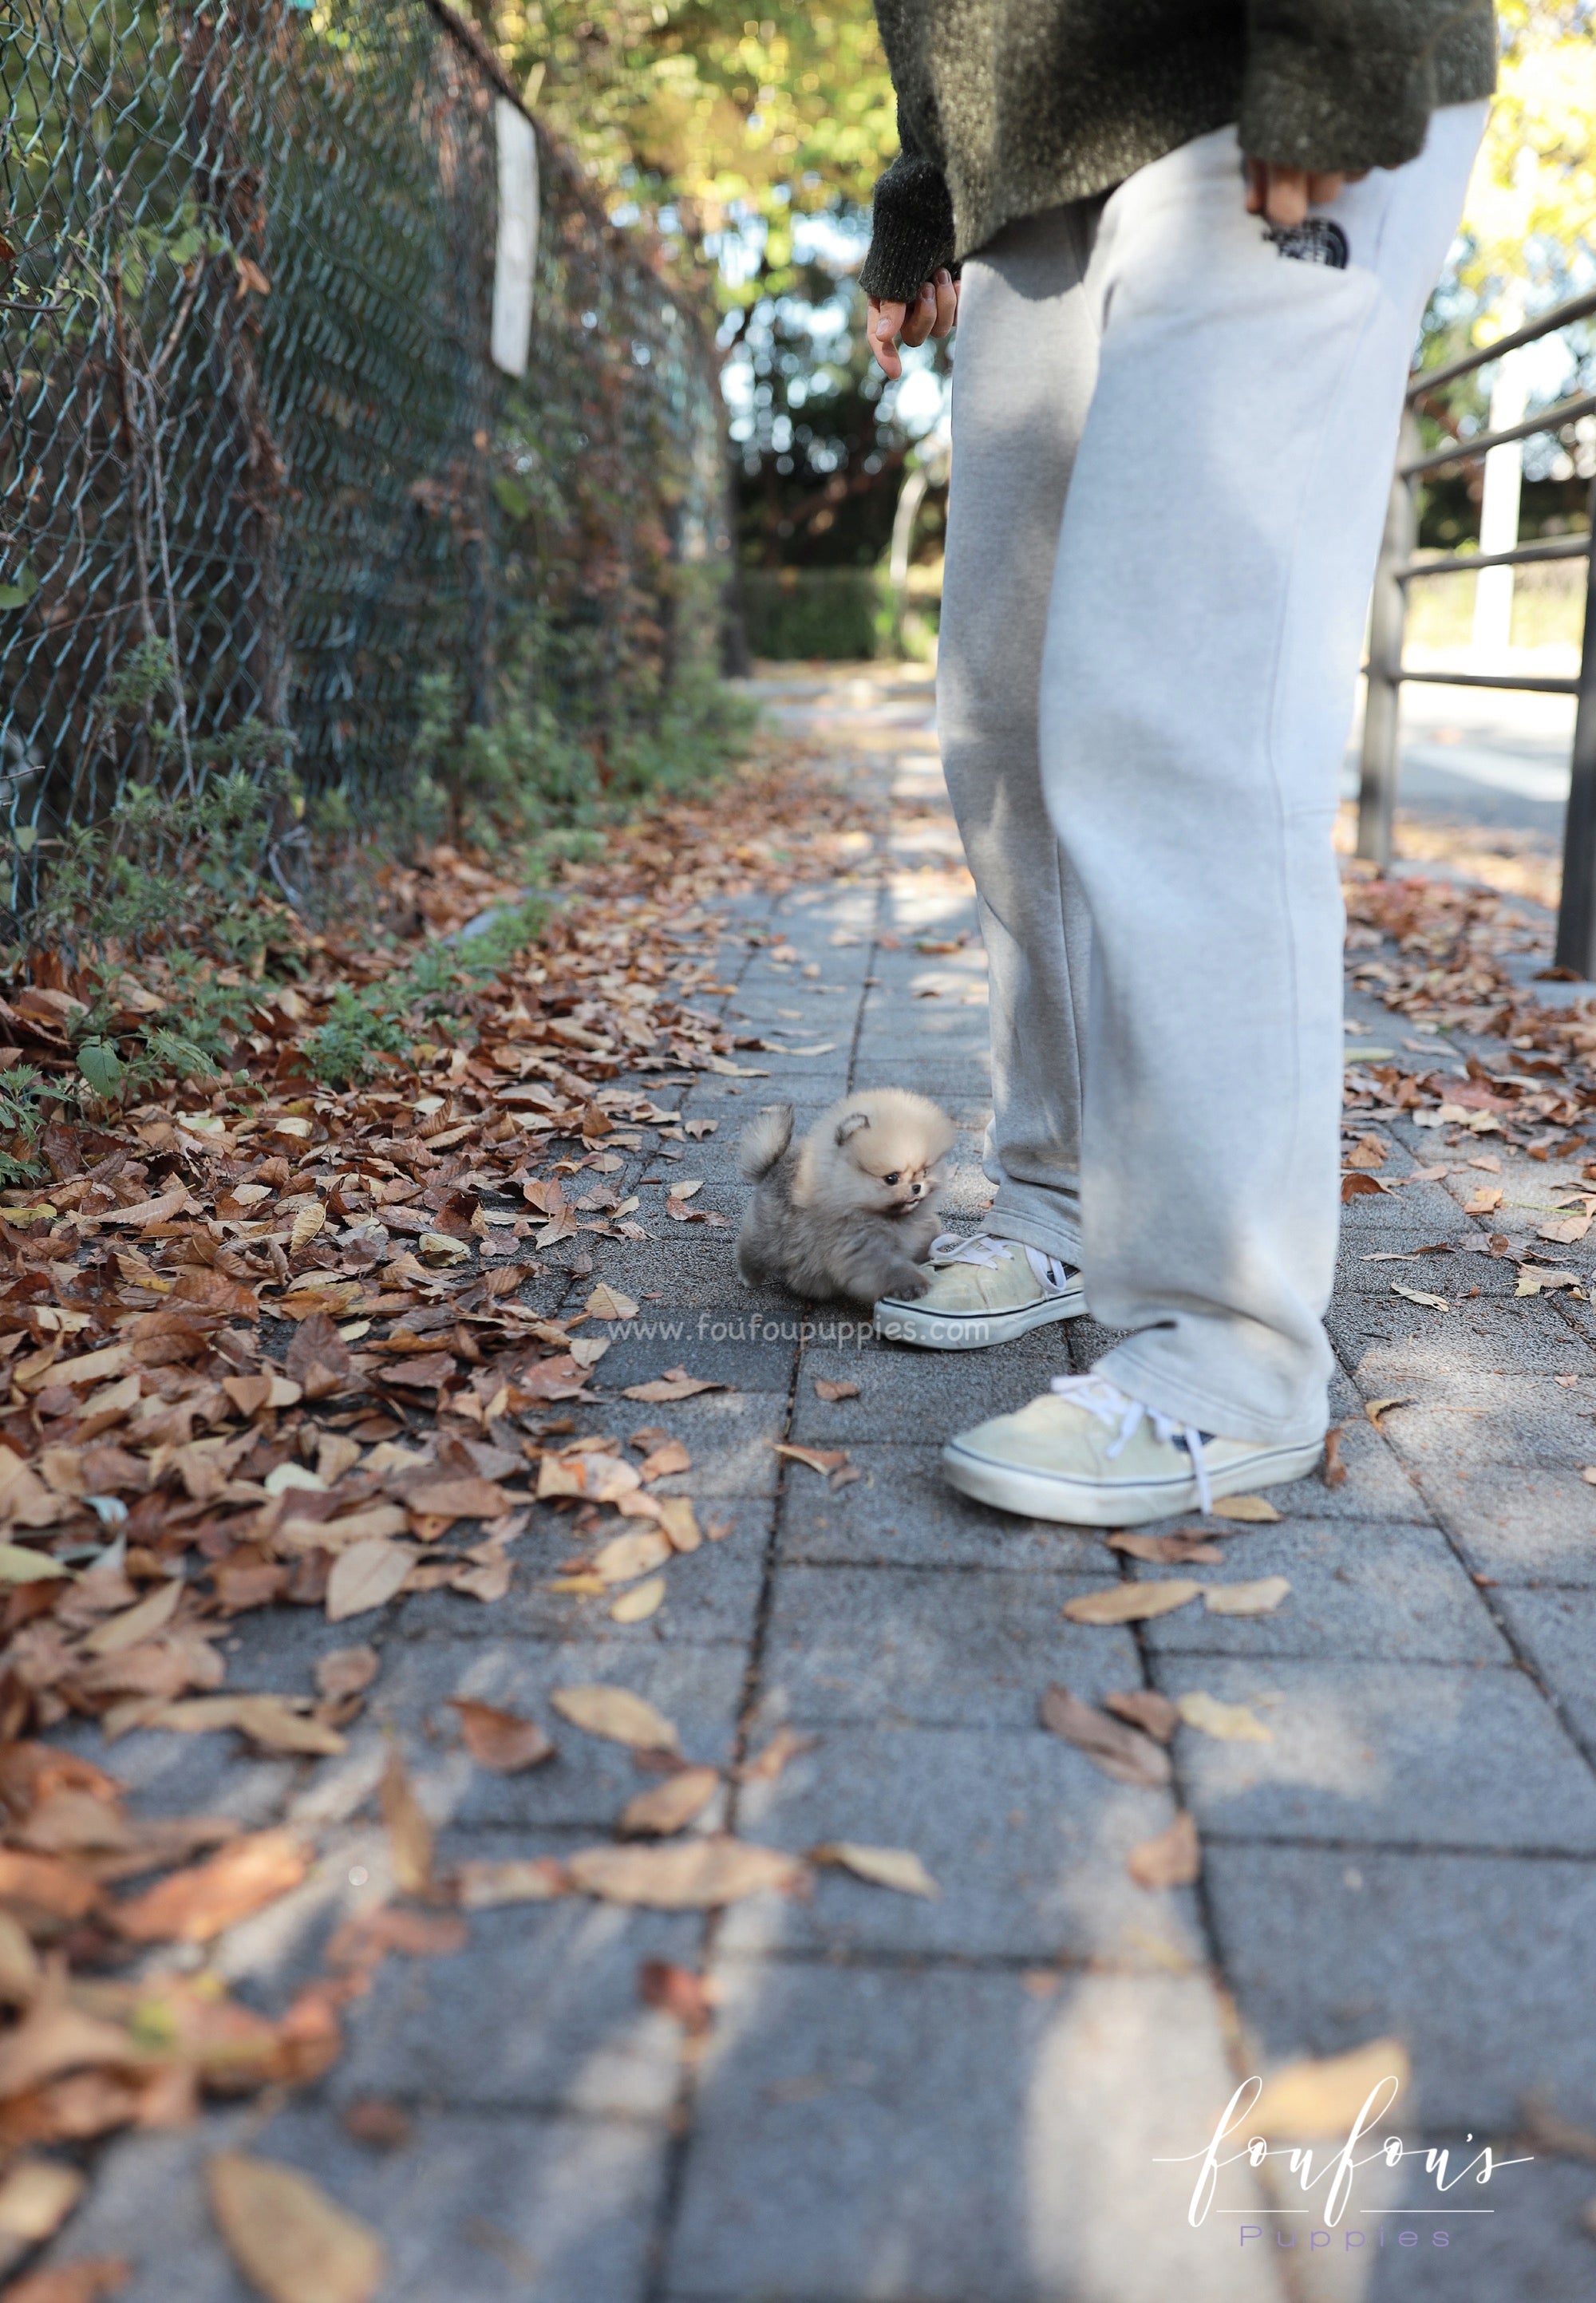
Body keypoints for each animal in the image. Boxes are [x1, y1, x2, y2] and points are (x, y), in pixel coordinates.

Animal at [732, 1087, 944, 1308]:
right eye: (892, 1178)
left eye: (925, 1172)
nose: (917, 1187)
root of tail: (772, 1167)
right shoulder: (861, 1248)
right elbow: (889, 1267)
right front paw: (913, 1285)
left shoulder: (917, 1231)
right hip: (767, 1233)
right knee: (752, 1249)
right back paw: (749, 1277)